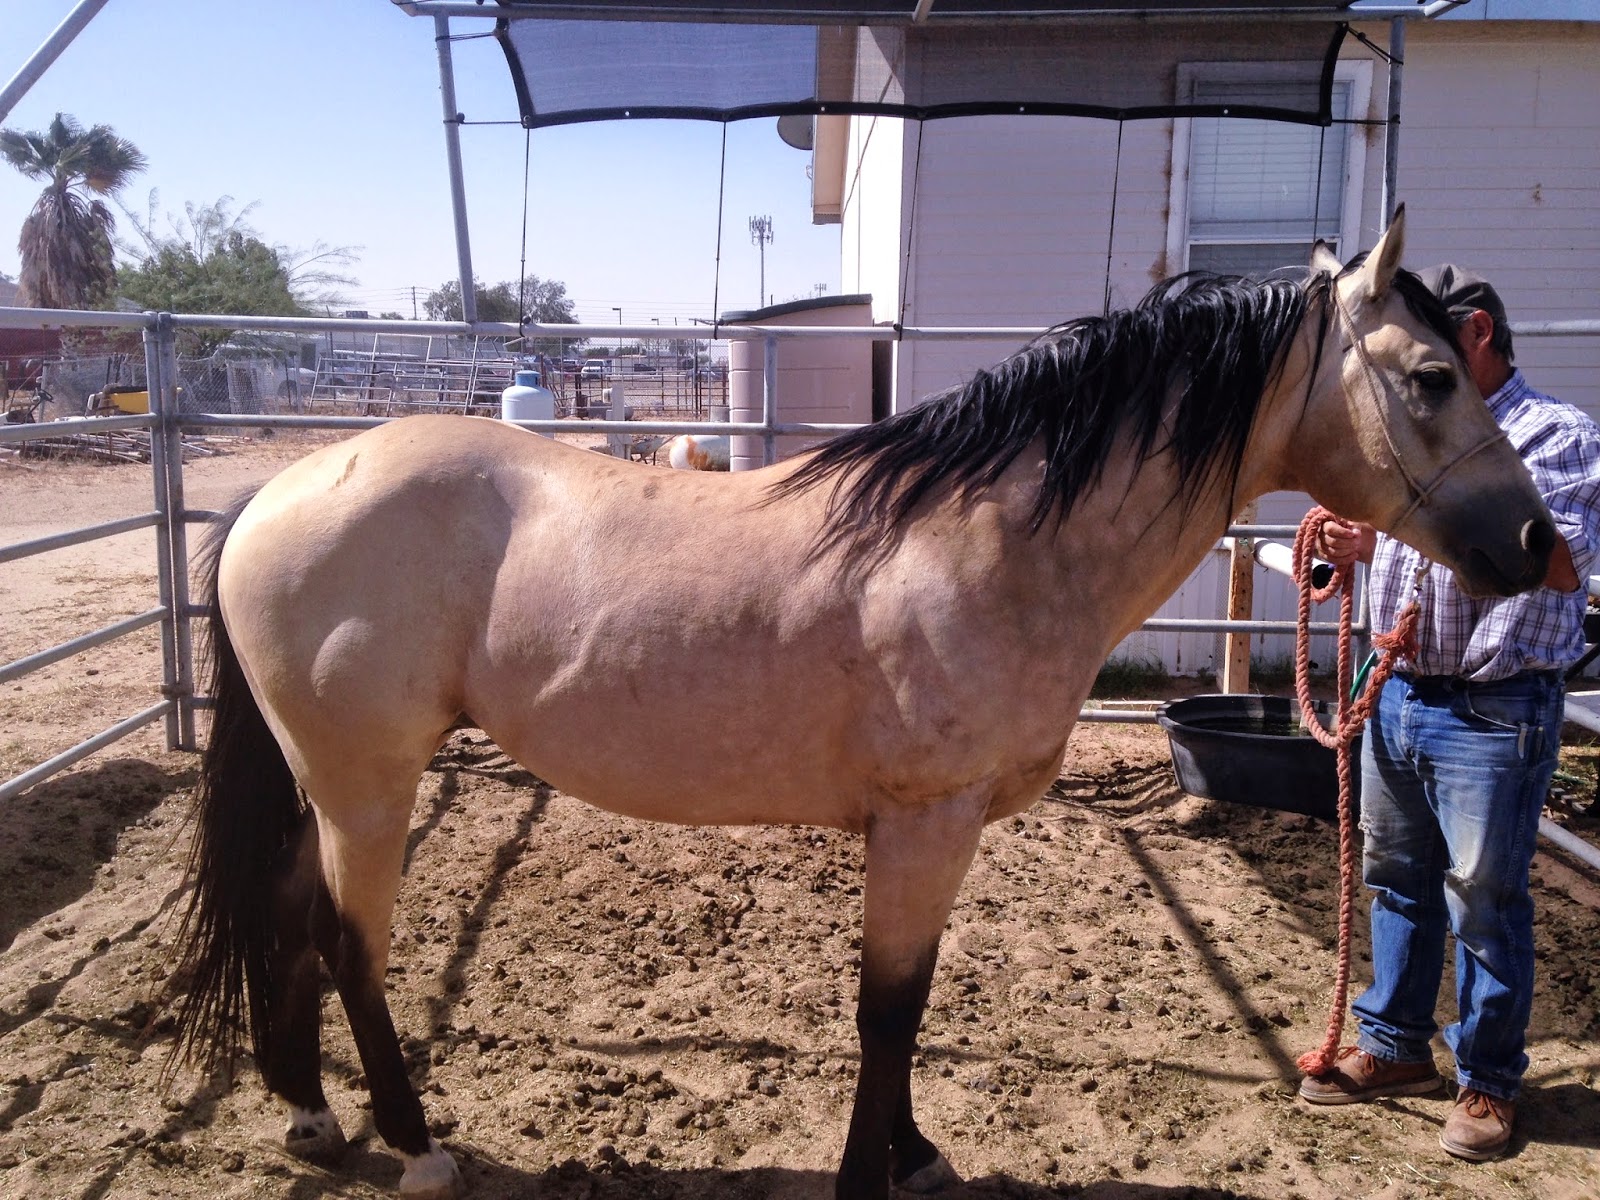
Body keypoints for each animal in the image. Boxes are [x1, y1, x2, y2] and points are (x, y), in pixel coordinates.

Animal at [169, 210, 1555, 1200]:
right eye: (1430, 376)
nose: (1538, 546)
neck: (990, 542)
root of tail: (275, 495)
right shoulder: (924, 822)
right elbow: (887, 1012)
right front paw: (869, 1172)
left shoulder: (936, 836)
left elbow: (914, 1004)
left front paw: (916, 1153)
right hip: (369, 786)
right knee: (347, 945)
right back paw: (418, 1148)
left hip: (325, 785)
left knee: (286, 924)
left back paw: (310, 1115)